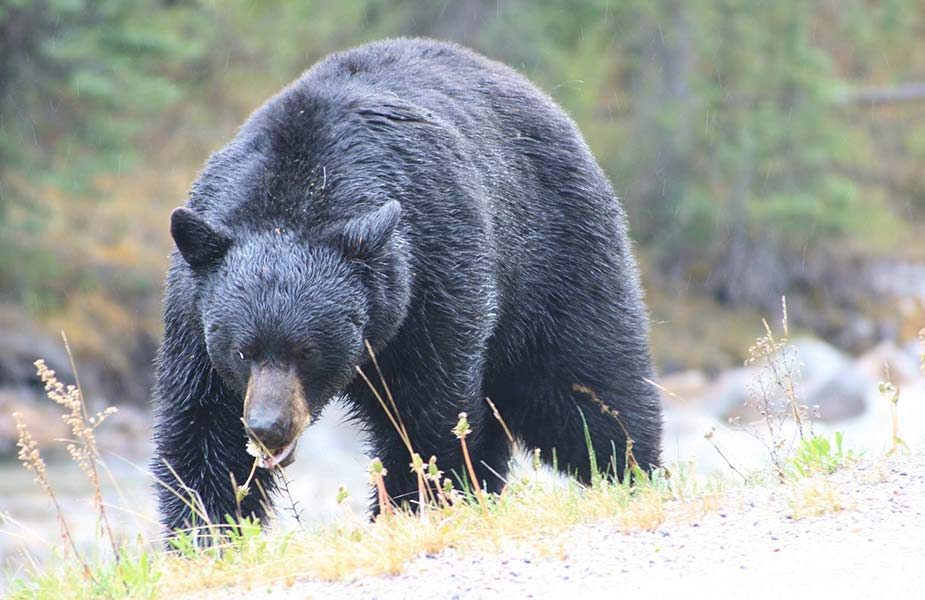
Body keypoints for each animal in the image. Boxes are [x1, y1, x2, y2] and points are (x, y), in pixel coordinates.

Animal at [152, 38, 660, 536]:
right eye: (242, 351)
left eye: (307, 351)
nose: (267, 426)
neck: (298, 191)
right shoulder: (192, 310)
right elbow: (203, 425)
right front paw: (207, 530)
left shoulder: (433, 274)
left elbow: (424, 416)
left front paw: (410, 506)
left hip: (551, 255)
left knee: (585, 382)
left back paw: (631, 470)